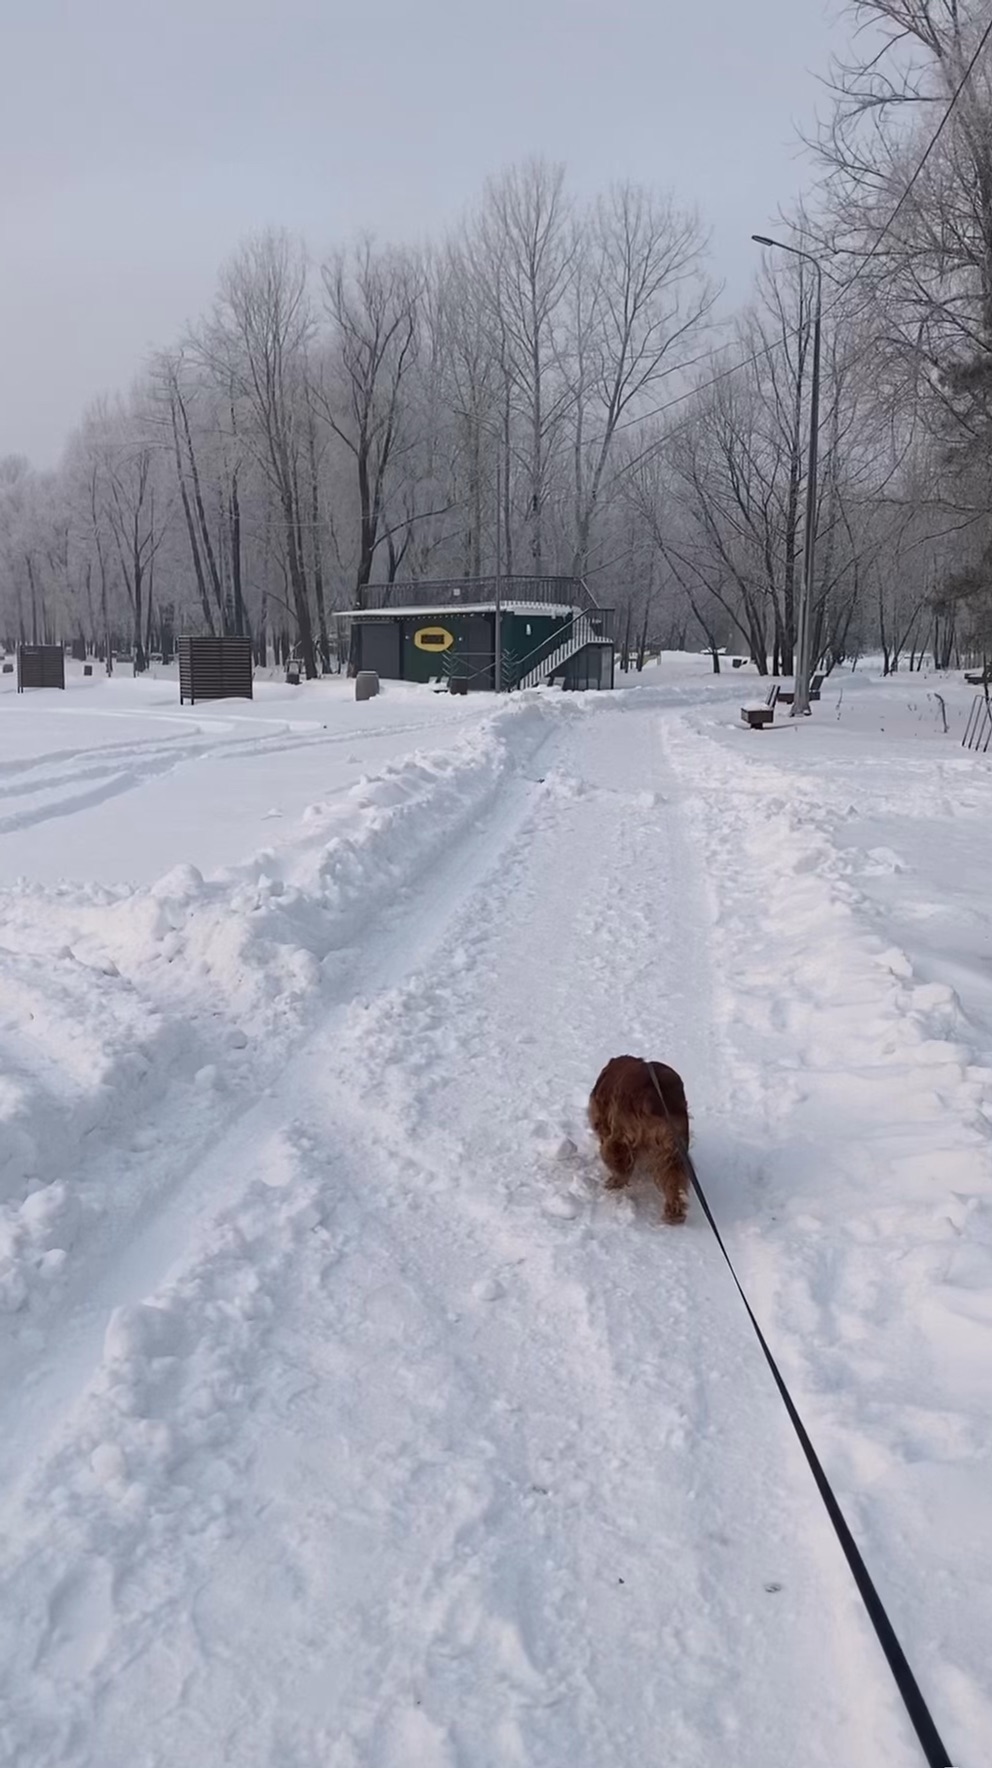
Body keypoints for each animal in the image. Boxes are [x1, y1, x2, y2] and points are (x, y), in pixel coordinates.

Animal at [587, 1053, 689, 1223]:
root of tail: (657, 1100)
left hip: (620, 1136)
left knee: (619, 1163)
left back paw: (614, 1182)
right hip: (674, 1150)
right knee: (674, 1179)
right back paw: (674, 1214)